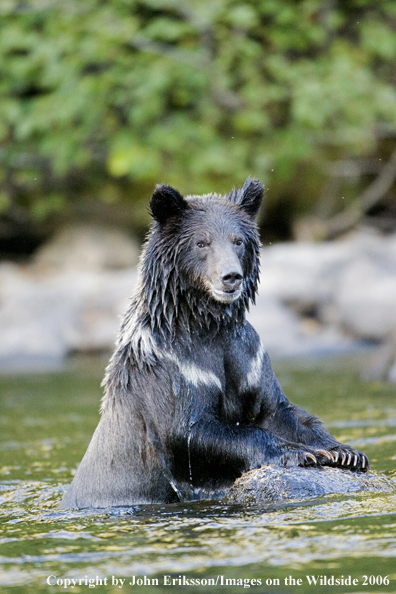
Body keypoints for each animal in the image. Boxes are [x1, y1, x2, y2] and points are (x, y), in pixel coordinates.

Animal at [60, 178, 370, 506]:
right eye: (201, 242)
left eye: (238, 241)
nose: (230, 276)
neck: (207, 326)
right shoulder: (171, 369)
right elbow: (189, 433)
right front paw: (301, 453)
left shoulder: (247, 356)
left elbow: (279, 412)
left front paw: (345, 452)